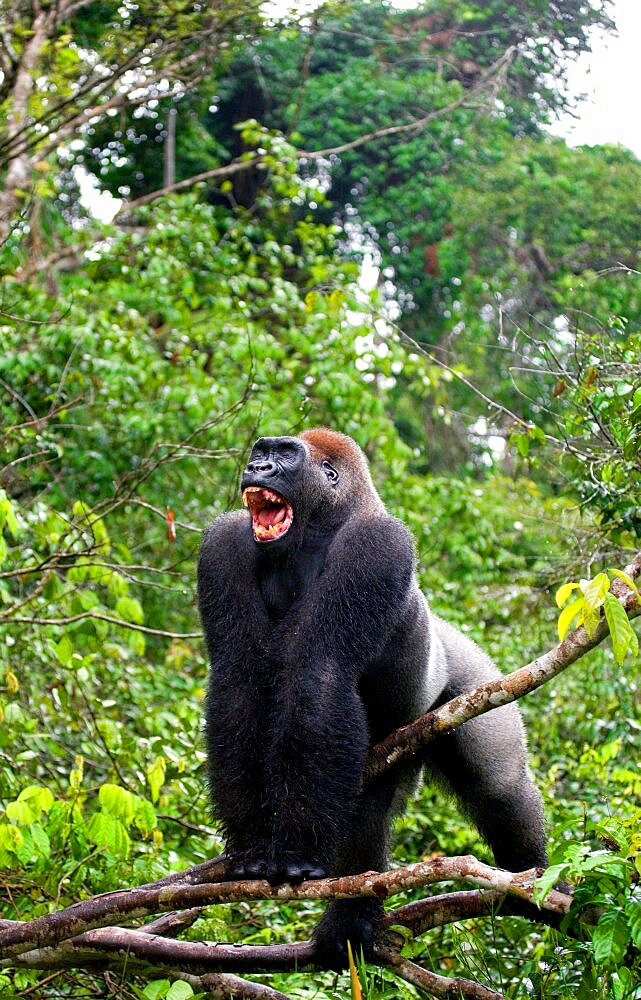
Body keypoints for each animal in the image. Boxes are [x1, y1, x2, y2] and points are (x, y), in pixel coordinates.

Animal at [198, 428, 548, 968]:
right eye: (261, 452)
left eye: (284, 456)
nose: (258, 468)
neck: (320, 523)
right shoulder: (225, 544)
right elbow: (238, 685)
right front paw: (253, 845)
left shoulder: (377, 546)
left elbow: (321, 675)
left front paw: (294, 853)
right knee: (368, 814)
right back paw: (350, 922)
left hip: (472, 680)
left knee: (498, 785)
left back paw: (533, 878)